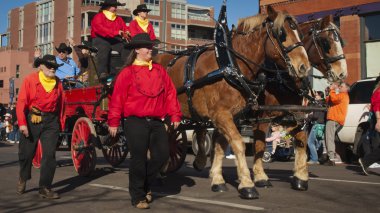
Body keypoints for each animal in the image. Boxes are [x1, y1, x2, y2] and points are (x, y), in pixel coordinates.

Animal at [155, 5, 312, 199]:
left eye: (300, 34)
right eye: (281, 33)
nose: (304, 67)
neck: (230, 66)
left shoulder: (234, 116)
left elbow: (221, 146)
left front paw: (218, 180)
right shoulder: (222, 115)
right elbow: (238, 143)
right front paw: (247, 184)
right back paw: (160, 171)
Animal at [251, 14, 348, 188]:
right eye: (326, 41)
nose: (342, 73)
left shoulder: (296, 113)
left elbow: (301, 141)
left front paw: (300, 177)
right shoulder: (262, 116)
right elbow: (260, 144)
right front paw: (260, 177)